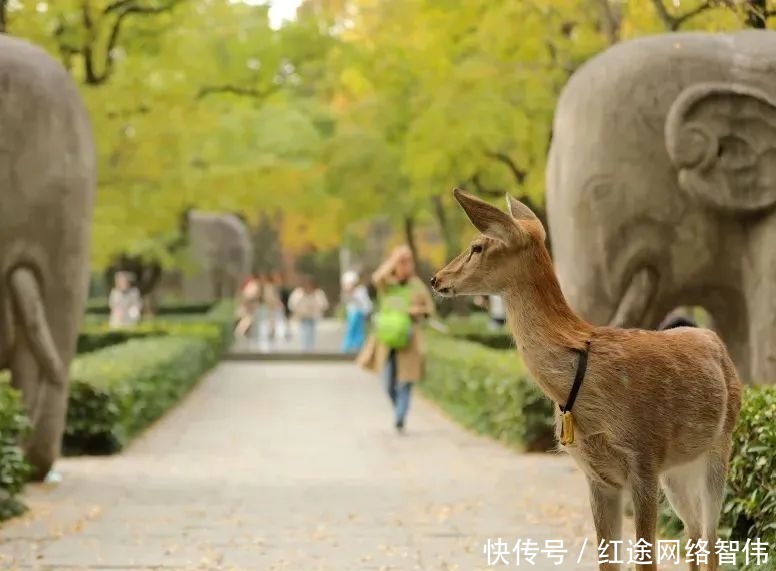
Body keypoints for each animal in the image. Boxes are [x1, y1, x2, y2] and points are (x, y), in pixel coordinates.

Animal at [434, 190, 744, 568]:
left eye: (477, 246)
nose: (436, 278)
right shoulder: (598, 476)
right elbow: (607, 560)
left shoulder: (644, 456)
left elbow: (645, 561)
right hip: (677, 469)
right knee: (695, 532)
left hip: (719, 447)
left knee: (712, 539)